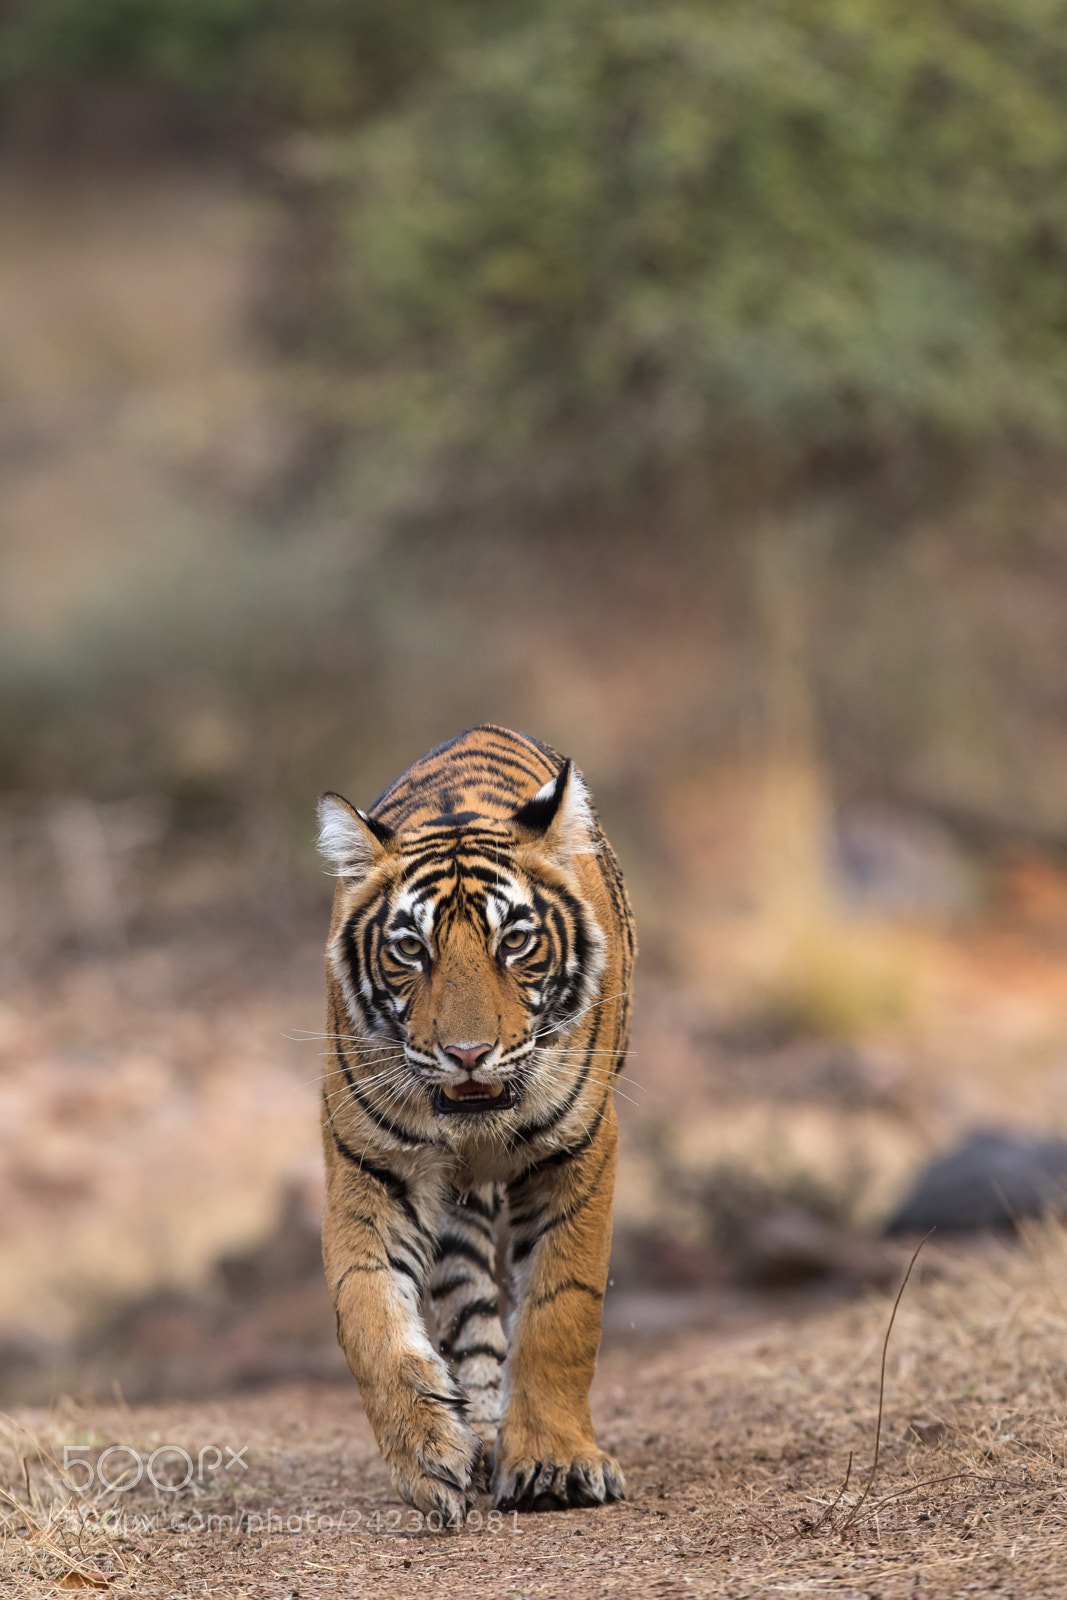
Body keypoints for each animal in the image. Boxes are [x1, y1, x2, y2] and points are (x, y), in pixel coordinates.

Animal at [316, 724, 635, 1517]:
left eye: (514, 941)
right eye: (410, 948)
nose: (465, 1054)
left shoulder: (579, 1151)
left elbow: (560, 1309)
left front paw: (554, 1465)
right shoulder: (370, 1167)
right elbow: (366, 1310)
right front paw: (428, 1455)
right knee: (467, 1303)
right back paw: (482, 1434)